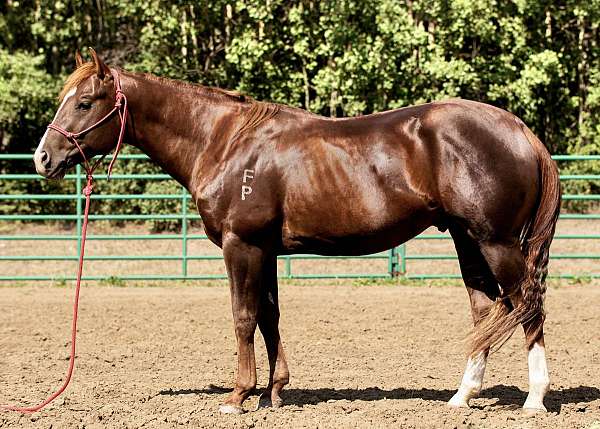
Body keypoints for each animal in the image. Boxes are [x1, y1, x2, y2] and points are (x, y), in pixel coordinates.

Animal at [32, 51, 556, 414]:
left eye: (84, 102)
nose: (42, 158)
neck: (224, 140)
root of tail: (519, 130)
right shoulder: (264, 251)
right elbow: (270, 317)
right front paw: (275, 392)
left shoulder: (241, 246)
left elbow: (243, 317)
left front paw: (238, 396)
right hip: (468, 241)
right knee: (485, 310)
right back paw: (462, 397)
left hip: (496, 242)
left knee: (527, 303)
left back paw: (534, 399)